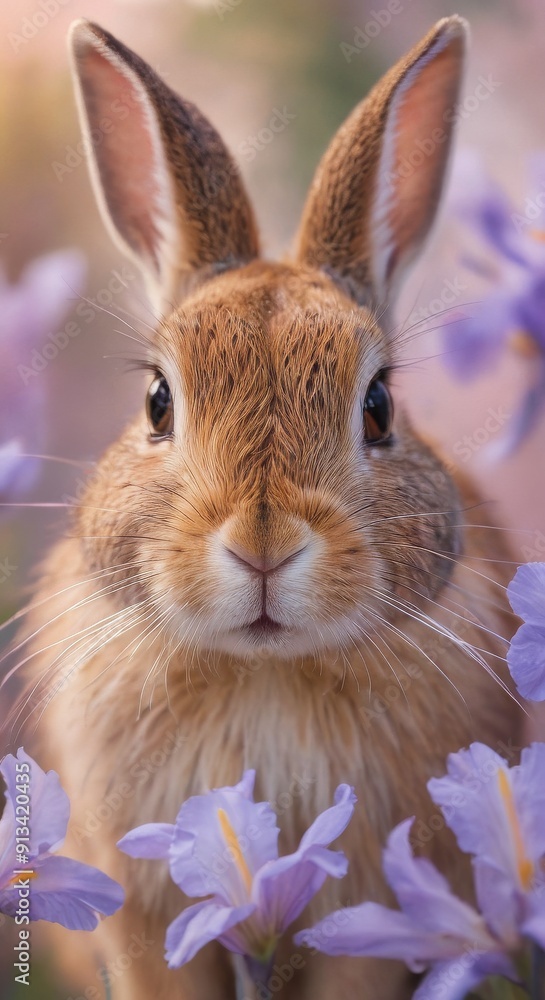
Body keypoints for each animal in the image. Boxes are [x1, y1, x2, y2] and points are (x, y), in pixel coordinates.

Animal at [17, 14, 522, 1000]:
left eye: (379, 407)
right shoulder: (139, 910)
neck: (264, 674)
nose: (262, 545)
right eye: (157, 403)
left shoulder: (371, 905)